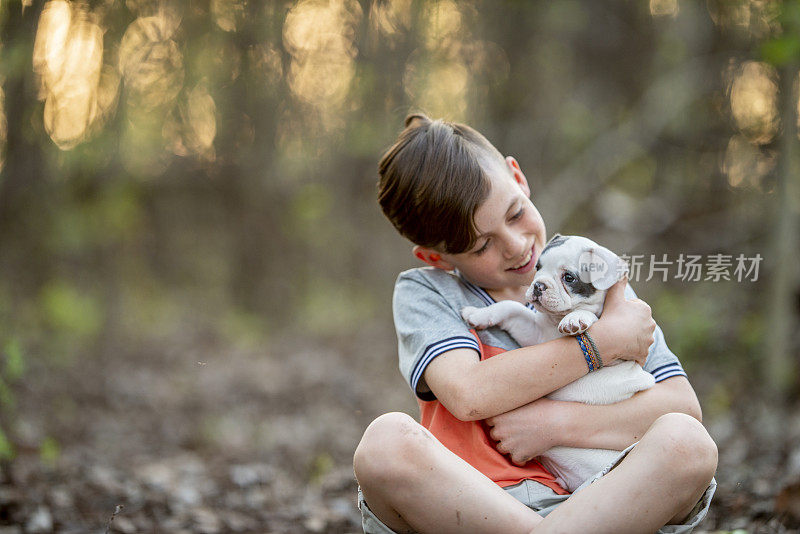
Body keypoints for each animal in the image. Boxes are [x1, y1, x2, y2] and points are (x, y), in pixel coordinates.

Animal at [460, 234, 652, 494]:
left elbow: (590, 315)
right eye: (537, 268)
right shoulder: (533, 333)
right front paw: (478, 314)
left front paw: (576, 319)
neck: (554, 321)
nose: (539, 285)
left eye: (569, 278)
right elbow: (511, 307)